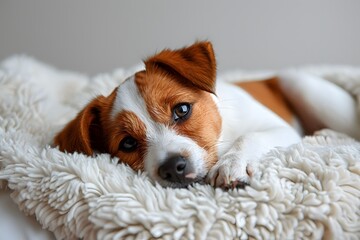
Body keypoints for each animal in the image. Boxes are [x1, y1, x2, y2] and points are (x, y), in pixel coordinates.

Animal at [53, 41, 360, 189]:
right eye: (127, 143)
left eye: (182, 110)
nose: (173, 168)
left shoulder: (279, 128)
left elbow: (249, 138)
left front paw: (231, 164)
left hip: (298, 84)